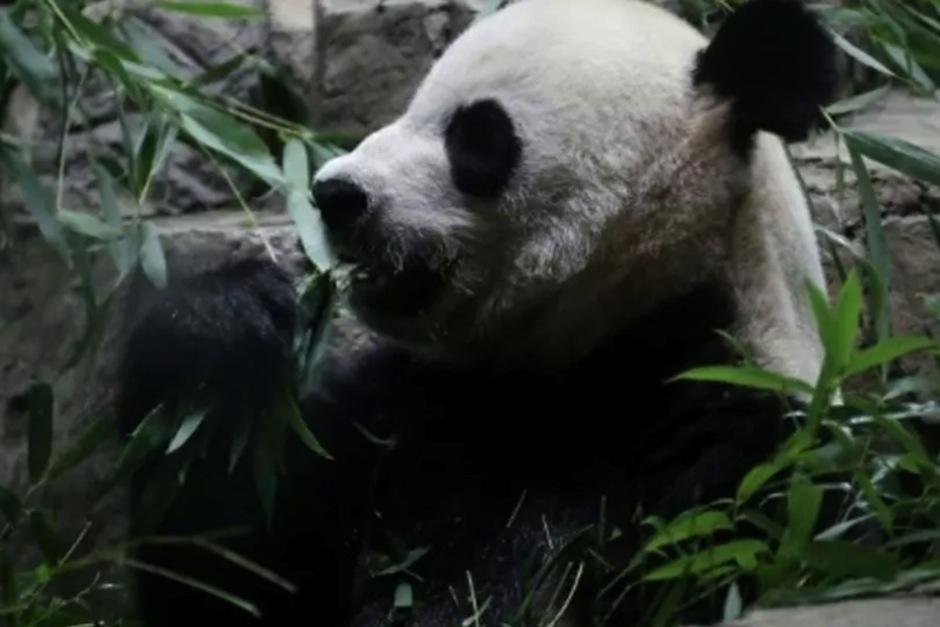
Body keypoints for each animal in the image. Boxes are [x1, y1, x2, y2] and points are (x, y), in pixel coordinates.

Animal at [115, 0, 837, 626]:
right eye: (411, 105)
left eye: (477, 135)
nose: (334, 193)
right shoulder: (407, 411)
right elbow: (237, 578)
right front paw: (225, 323)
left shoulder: (743, 433)